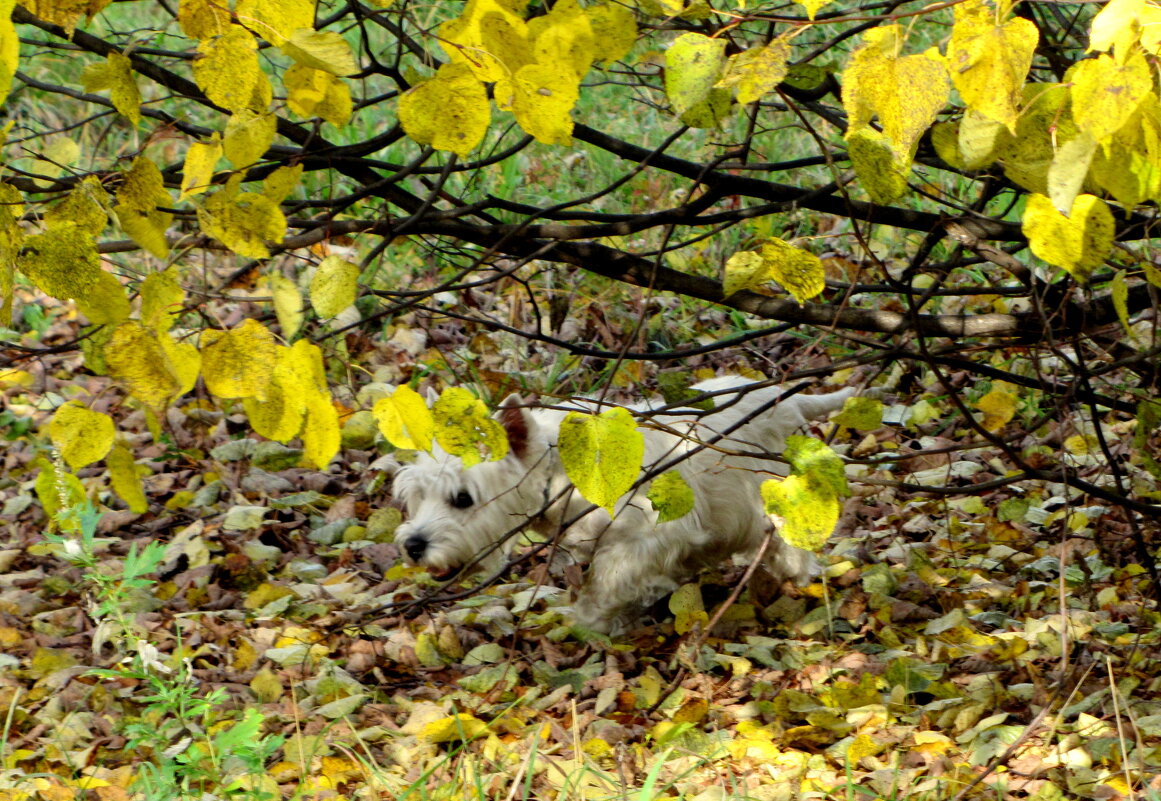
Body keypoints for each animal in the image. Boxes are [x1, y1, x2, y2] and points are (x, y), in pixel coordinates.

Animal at [390, 373, 854, 631]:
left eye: (462, 498)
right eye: (416, 496)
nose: (413, 546)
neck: (561, 476)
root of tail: (787, 398)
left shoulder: (651, 532)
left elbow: (609, 578)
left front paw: (591, 621)